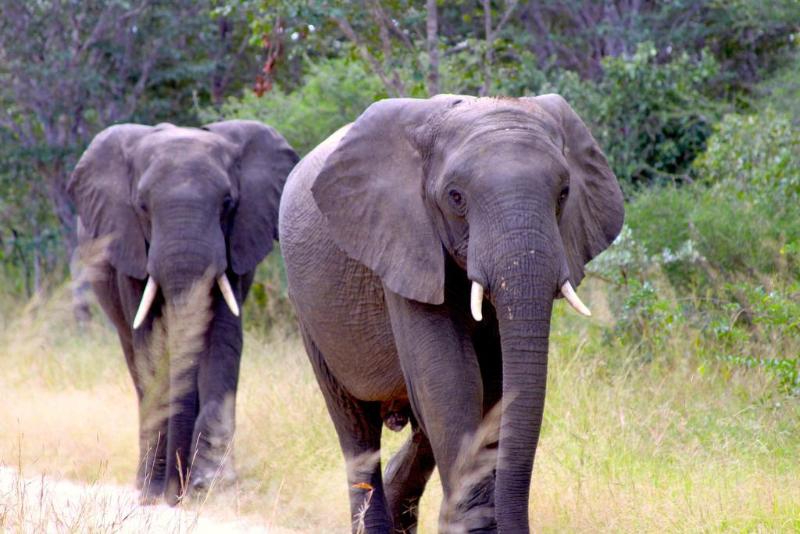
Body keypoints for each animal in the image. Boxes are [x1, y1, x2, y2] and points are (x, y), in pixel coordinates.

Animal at [68, 120, 298, 504]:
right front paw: (155, 493)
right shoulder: (130, 251)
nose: (175, 493)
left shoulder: (234, 248)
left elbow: (222, 342)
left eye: (227, 202)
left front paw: (209, 486)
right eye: (142, 206)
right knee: (136, 362)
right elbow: (151, 347)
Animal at [279, 94, 623, 532]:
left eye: (564, 193)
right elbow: (451, 378)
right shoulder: (403, 241)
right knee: (356, 428)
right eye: (456, 198)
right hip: (309, 315)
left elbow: (492, 386)